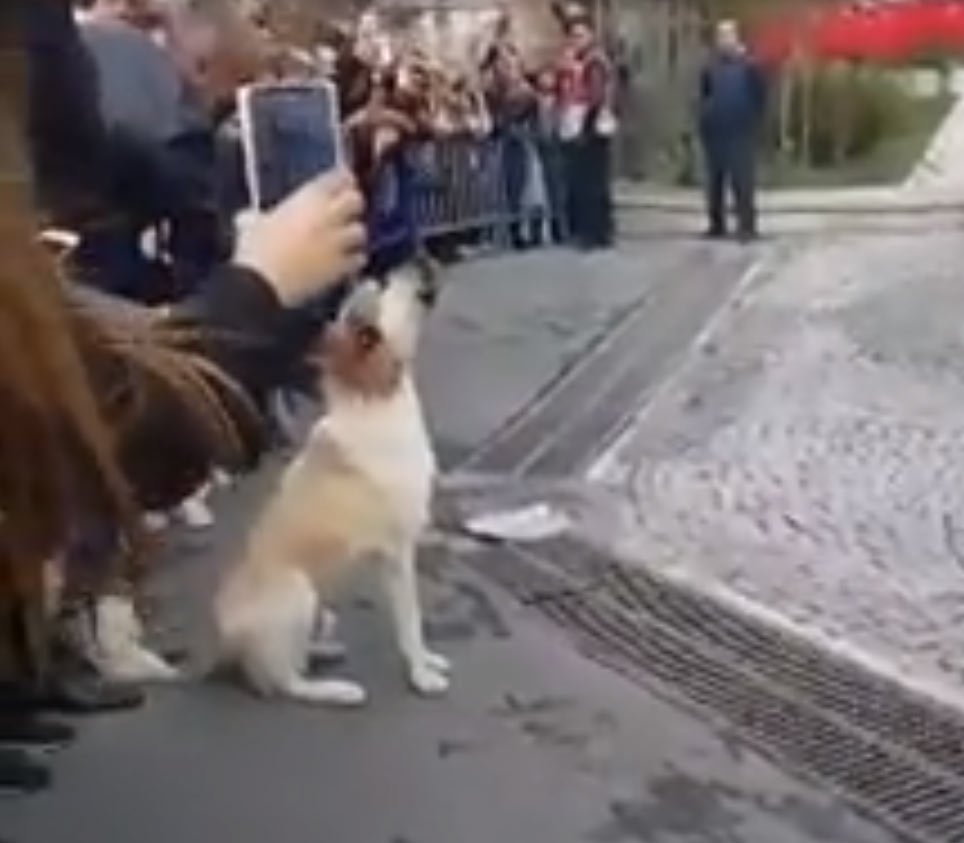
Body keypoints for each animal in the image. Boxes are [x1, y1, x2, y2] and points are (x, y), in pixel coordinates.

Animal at [215, 264, 448, 704]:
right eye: (383, 287)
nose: (419, 259)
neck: (373, 398)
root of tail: (227, 648)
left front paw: (428, 662)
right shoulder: (397, 555)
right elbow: (411, 623)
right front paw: (422, 675)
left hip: (321, 610)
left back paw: (323, 651)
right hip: (300, 593)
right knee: (288, 683)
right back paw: (337, 691)